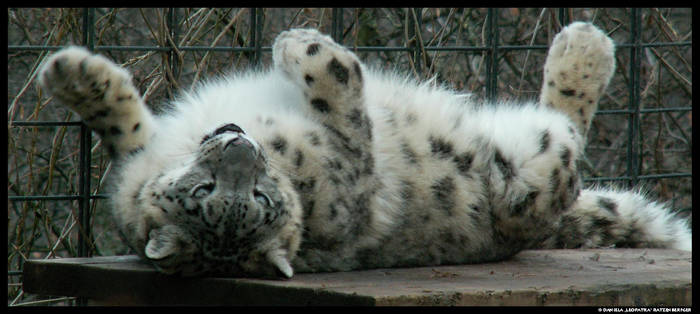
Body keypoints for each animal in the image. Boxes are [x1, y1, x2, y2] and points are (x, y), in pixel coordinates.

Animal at [37, 20, 688, 278]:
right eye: (208, 193)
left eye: (259, 195)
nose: (241, 147)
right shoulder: (353, 173)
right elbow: (345, 94)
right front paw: (304, 45)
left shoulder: (139, 160)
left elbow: (123, 126)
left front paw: (73, 75)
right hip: (536, 171)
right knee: (567, 131)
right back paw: (585, 48)